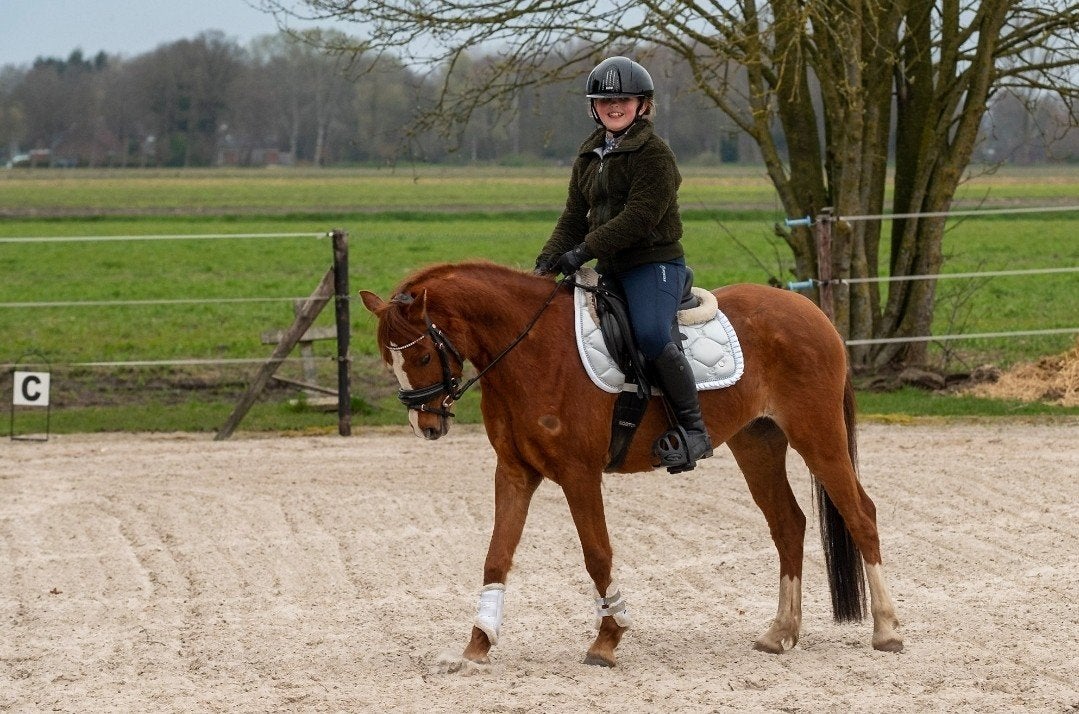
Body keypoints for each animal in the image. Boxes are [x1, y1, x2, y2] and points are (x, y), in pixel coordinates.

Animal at [359, 260, 903, 668]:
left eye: (422, 356)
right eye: (390, 360)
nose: (427, 426)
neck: (530, 348)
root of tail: (813, 313)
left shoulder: (578, 474)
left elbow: (597, 554)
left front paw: (607, 638)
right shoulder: (514, 472)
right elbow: (497, 555)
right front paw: (477, 645)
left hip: (818, 437)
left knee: (861, 515)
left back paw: (886, 630)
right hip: (758, 445)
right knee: (789, 524)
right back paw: (781, 633)